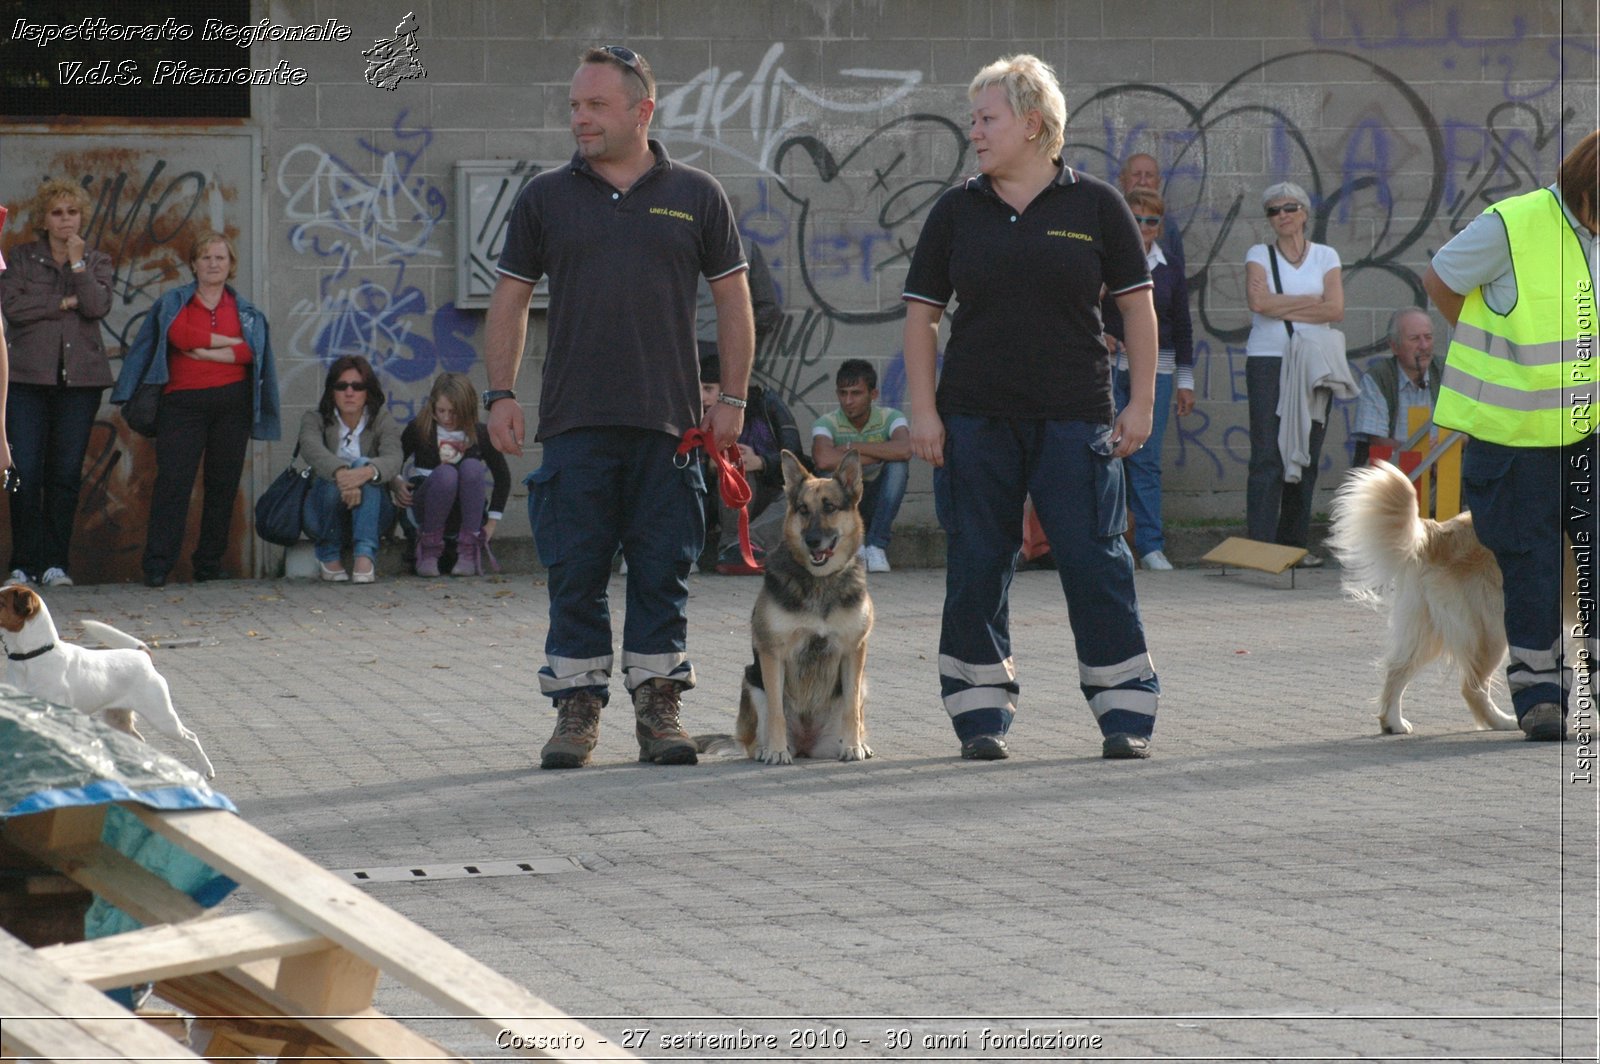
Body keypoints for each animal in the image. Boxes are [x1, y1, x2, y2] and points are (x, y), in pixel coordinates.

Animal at [736, 448, 876, 764]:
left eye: (830, 507)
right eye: (802, 509)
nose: (812, 541)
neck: (820, 582)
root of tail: (805, 745)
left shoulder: (854, 650)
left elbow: (851, 710)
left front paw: (853, 746)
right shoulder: (772, 653)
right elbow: (777, 711)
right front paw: (776, 751)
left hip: (862, 684)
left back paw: (858, 743)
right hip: (752, 681)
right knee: (757, 732)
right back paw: (766, 749)